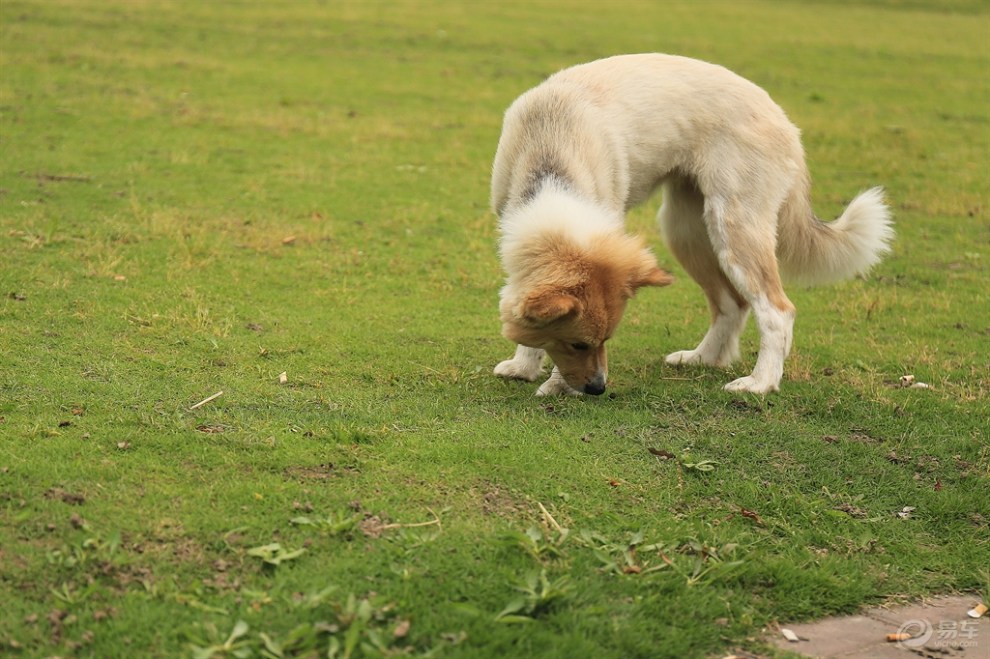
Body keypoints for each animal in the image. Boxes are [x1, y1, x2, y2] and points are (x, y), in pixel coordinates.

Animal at [492, 54, 896, 394]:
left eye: (604, 340)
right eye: (578, 343)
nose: (598, 388)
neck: (551, 155)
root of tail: (781, 117)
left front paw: (556, 386)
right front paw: (524, 365)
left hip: (734, 230)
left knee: (777, 311)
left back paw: (760, 383)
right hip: (686, 229)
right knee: (732, 305)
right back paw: (702, 359)